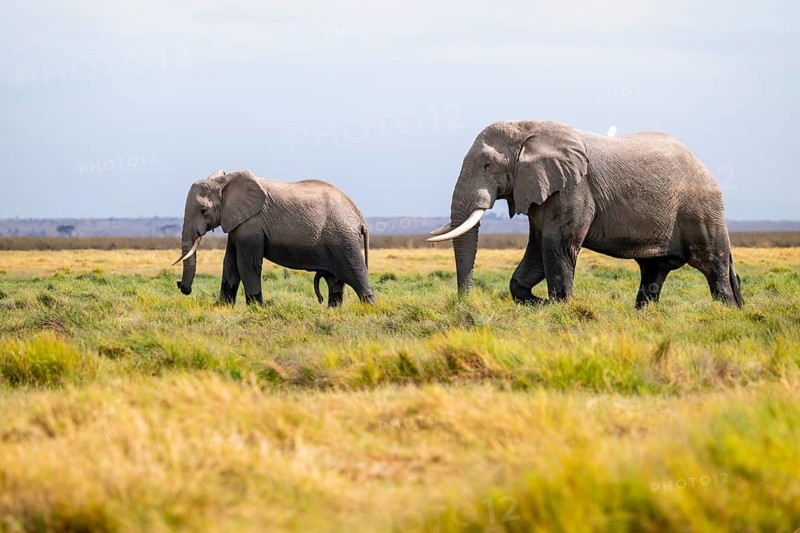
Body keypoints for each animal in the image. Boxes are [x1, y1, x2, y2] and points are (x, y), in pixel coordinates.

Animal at [174, 169, 375, 307]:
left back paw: (369, 308)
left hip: (343, 240)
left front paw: (256, 309)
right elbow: (230, 262)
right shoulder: (237, 222)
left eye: (203, 210)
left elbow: (246, 263)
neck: (226, 180)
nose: (181, 286)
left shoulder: (252, 223)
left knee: (355, 274)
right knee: (336, 281)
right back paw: (333, 310)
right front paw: (224, 307)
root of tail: (359, 217)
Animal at [428, 120, 743, 309]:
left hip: (701, 210)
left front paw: (560, 306)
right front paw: (541, 303)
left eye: (488, 165)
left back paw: (725, 312)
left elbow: (556, 246)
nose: (463, 303)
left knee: (713, 267)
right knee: (654, 271)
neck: (528, 127)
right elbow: (537, 250)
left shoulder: (574, 188)